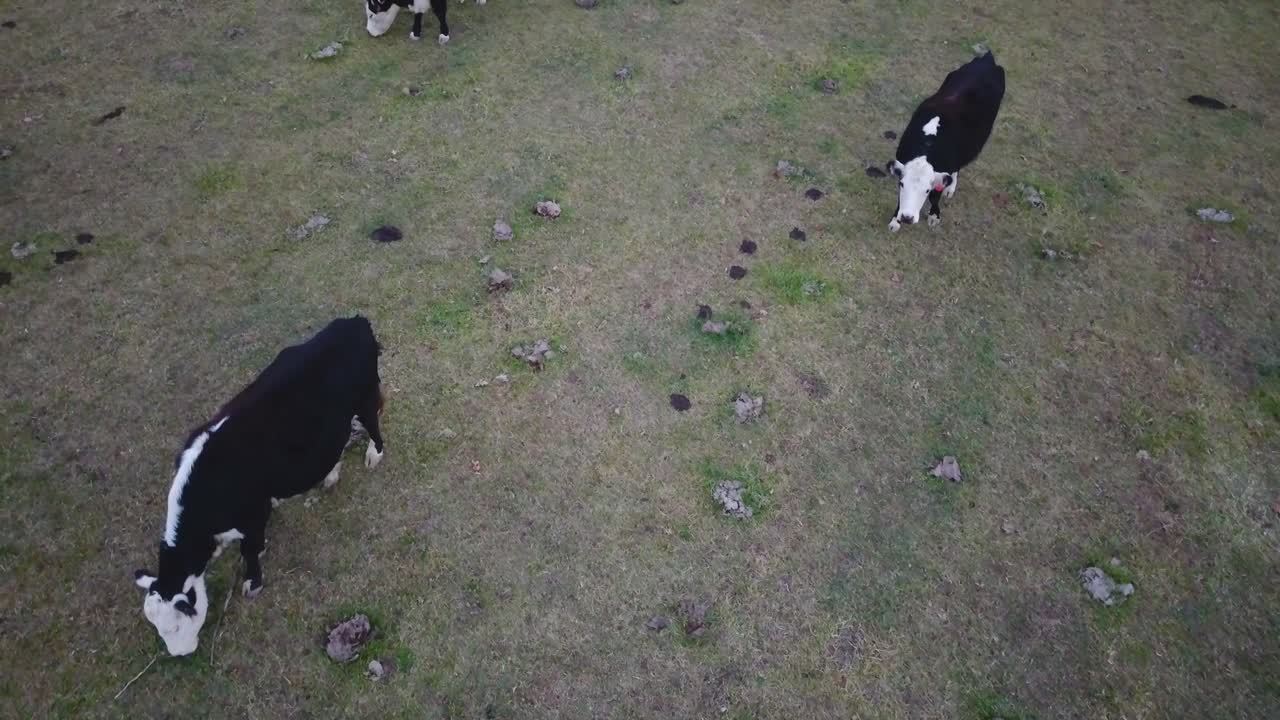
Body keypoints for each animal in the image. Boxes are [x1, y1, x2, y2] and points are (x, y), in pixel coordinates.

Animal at [133, 316, 387, 656]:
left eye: (174, 625)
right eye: (157, 626)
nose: (180, 655)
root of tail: (356, 322)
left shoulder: (252, 514)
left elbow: (250, 549)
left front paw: (253, 582)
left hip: (365, 397)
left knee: (374, 425)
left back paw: (374, 454)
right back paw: (331, 476)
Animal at [887, 51, 1006, 231]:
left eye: (926, 190)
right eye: (902, 184)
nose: (907, 218)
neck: (927, 146)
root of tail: (987, 59)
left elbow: (936, 196)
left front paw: (934, 215)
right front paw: (895, 221)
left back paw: (950, 188)